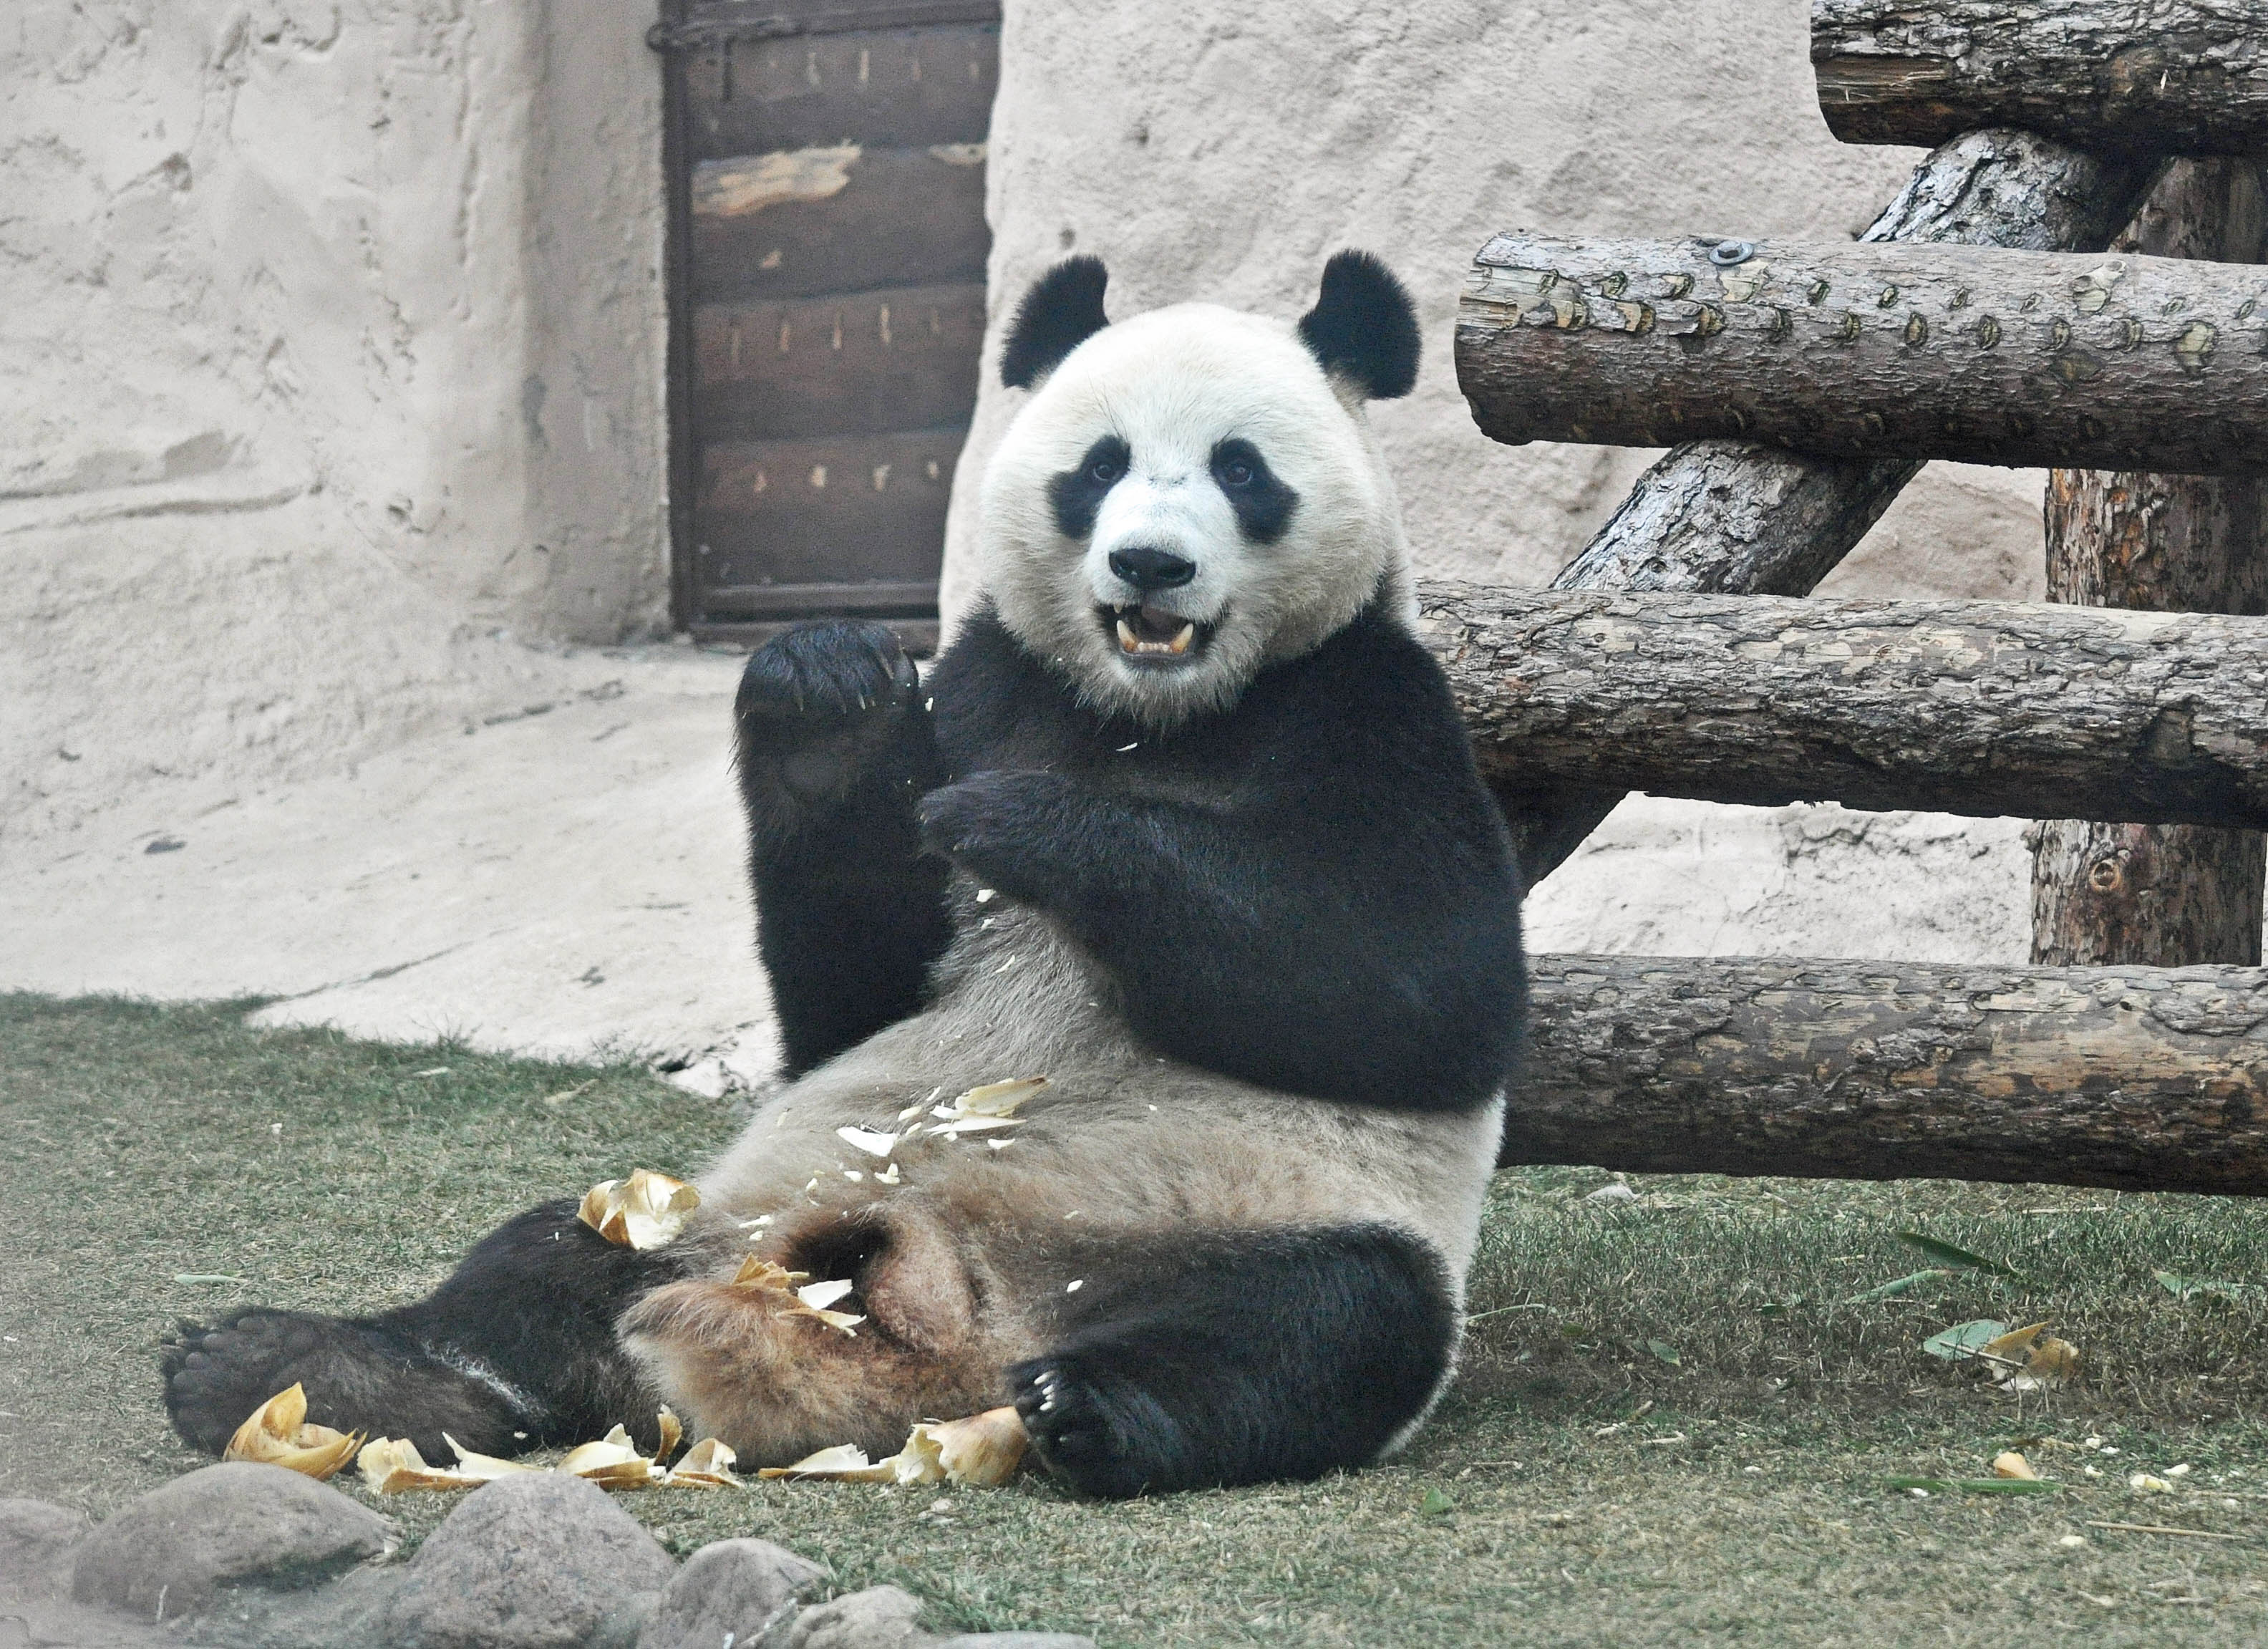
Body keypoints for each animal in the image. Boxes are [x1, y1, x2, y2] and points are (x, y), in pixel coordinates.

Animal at [164, 255, 1523, 1496]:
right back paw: (294, 1371)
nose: (1150, 565)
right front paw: (824, 701)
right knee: (539, 1268)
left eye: (1242, 471)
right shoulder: (991, 684)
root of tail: (944, 1332)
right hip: (710, 1220)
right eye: (1099, 467)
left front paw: (1026, 821)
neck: (1149, 716)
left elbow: (1420, 991)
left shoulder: (1372, 705)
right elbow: (854, 986)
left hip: (1260, 1218)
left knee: (1331, 1324)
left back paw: (1095, 1409)